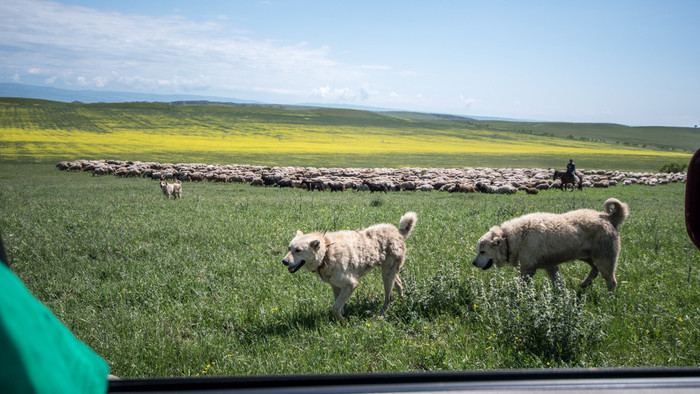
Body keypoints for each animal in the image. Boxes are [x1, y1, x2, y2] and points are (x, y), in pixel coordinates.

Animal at [284, 212, 416, 320]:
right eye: (289, 248)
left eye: (298, 250)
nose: (284, 261)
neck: (327, 252)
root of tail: (398, 232)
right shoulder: (335, 286)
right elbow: (338, 305)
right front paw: (341, 317)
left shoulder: (351, 284)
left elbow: (335, 309)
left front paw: (343, 321)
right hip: (389, 272)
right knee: (399, 284)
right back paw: (402, 303)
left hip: (386, 275)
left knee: (389, 297)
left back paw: (380, 315)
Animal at [470, 199, 628, 290]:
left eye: (482, 252)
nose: (473, 263)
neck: (510, 238)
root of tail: (608, 217)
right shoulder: (550, 266)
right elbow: (558, 284)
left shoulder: (528, 268)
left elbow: (520, 287)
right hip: (587, 256)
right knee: (594, 270)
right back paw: (585, 283)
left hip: (604, 259)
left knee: (611, 281)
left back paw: (610, 299)